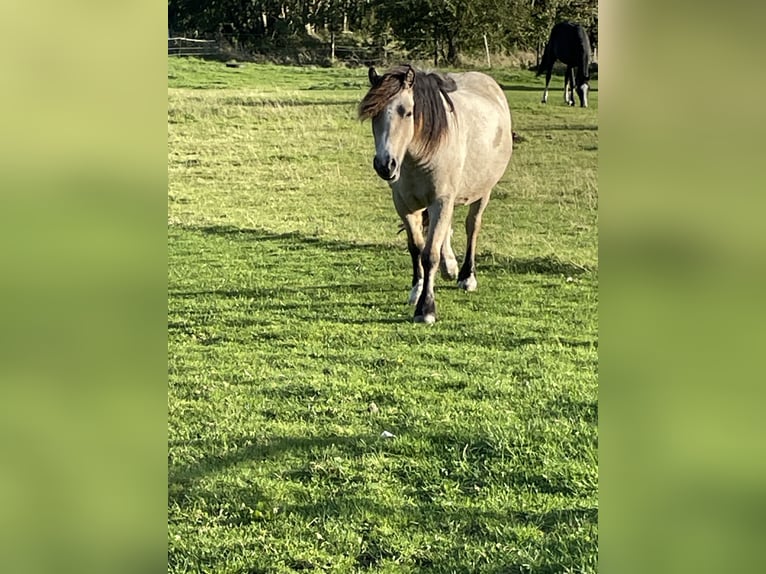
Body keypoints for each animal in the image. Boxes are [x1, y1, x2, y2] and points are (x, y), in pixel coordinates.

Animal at [360, 65, 516, 326]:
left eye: (407, 112)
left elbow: (429, 254)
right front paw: (417, 289)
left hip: (482, 192)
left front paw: (426, 308)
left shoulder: (441, 201)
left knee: (472, 226)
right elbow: (416, 247)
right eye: (374, 114)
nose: (385, 165)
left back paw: (466, 276)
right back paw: (449, 266)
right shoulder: (405, 205)